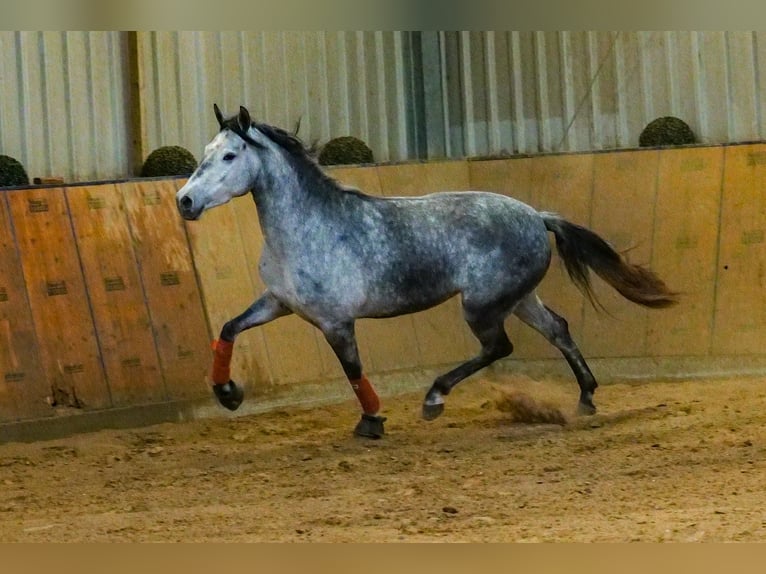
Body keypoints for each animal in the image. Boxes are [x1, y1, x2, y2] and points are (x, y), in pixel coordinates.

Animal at [176, 106, 680, 438]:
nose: (184, 201)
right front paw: (228, 393)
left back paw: (434, 398)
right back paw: (586, 398)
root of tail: (537, 216)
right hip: (518, 298)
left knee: (499, 346)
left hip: (482, 305)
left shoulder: (335, 321)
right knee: (558, 329)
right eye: (206, 151)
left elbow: (352, 369)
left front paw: (371, 421)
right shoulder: (279, 303)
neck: (309, 227)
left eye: (229, 156)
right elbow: (228, 328)